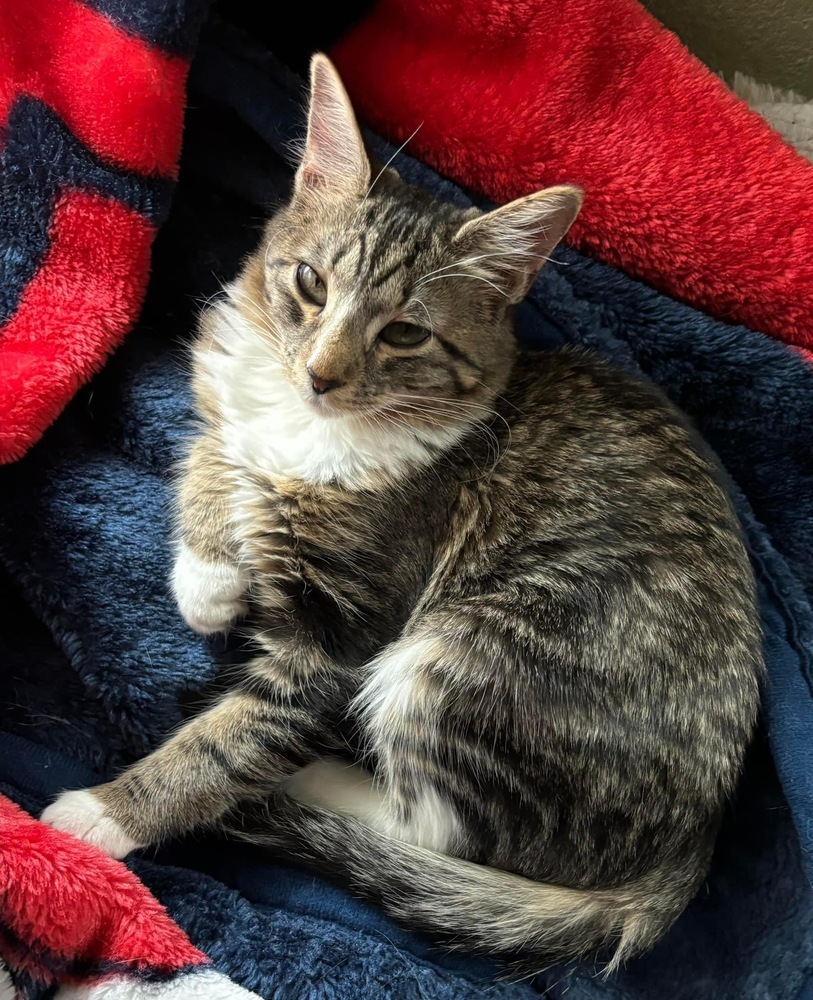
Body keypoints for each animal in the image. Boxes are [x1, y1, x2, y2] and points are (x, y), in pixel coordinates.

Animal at [42, 56, 760, 976]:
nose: (321, 375)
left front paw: (100, 819)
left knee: (434, 825)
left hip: (473, 657)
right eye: (311, 284)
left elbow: (241, 734)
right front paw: (206, 575)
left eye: (406, 335)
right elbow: (213, 445)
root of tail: (691, 843)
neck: (313, 429)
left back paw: (308, 789)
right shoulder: (228, 386)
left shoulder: (342, 633)